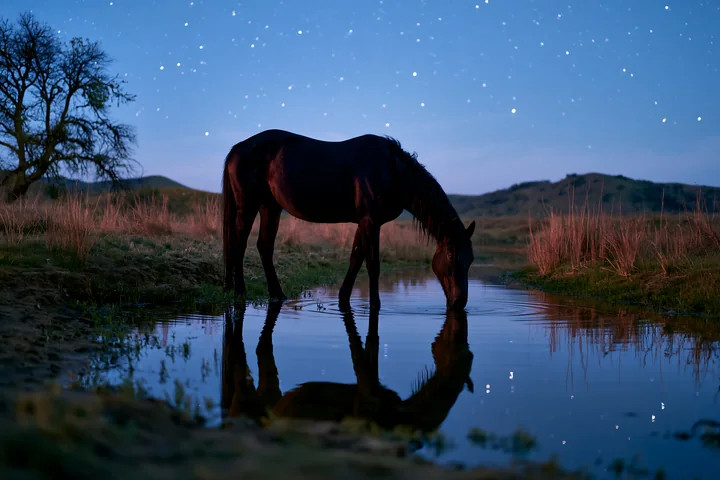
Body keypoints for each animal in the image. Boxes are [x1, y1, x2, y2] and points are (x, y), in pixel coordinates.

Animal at [221, 129, 476, 311]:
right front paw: (375, 305)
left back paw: (278, 295)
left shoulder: (364, 222)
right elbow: (372, 265)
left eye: (471, 258)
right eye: (451, 255)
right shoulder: (371, 222)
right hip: (248, 206)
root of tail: (236, 149)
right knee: (238, 244)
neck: (392, 171)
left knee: (264, 246)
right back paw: (240, 292)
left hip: (270, 207)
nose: (459, 302)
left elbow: (355, 259)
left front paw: (344, 299)